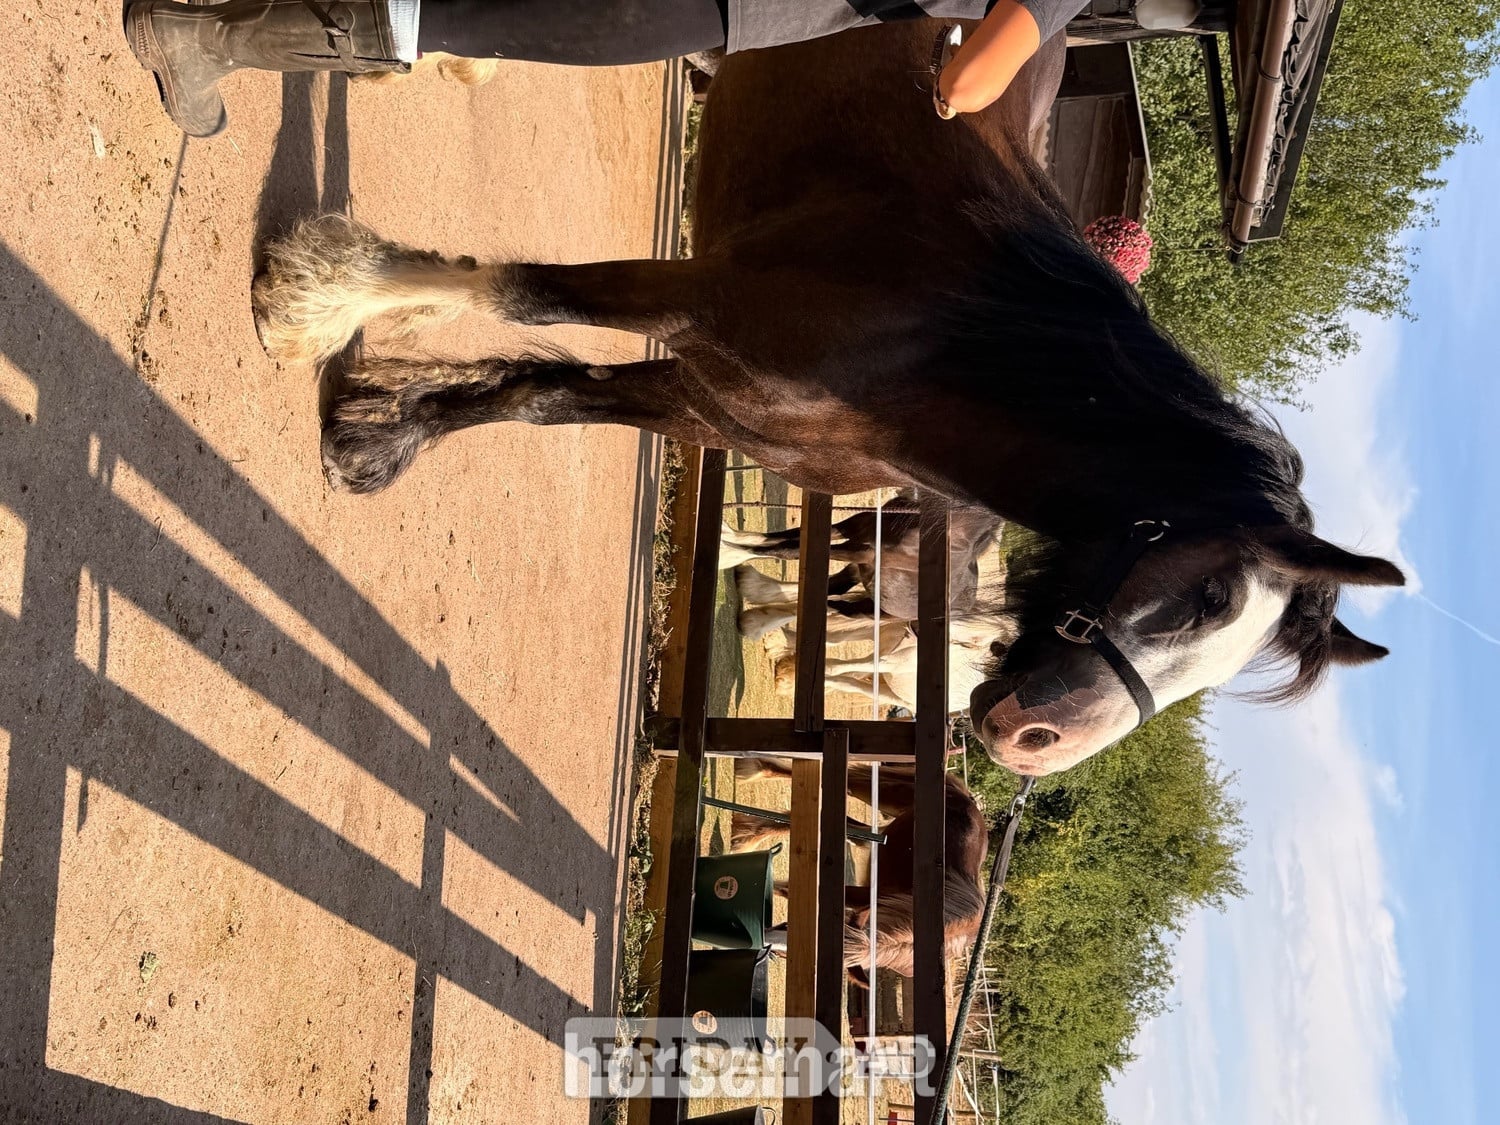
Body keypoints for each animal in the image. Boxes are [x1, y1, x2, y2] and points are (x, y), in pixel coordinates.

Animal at [250, 20, 1402, 775]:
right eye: (1208, 599)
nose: (1037, 747)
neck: (932, 349)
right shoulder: (698, 299)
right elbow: (527, 297)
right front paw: (318, 299)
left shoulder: (704, 399)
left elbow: (540, 395)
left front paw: (378, 430)